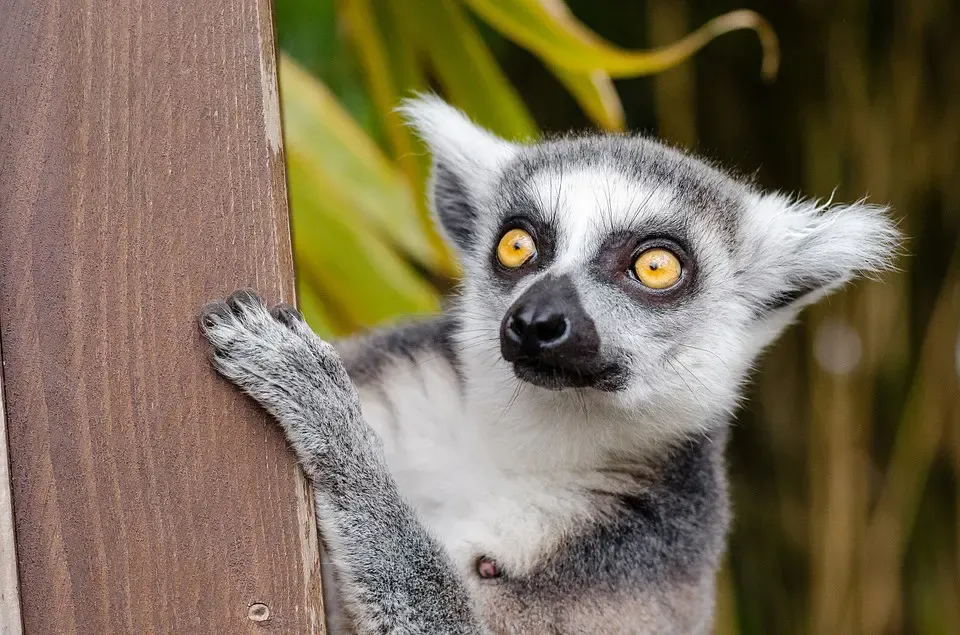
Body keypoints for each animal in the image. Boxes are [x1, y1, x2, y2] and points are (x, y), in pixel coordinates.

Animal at [200, 96, 899, 634]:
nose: (537, 321)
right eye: (517, 246)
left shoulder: (635, 557)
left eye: (656, 266)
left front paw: (322, 412)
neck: (524, 437)